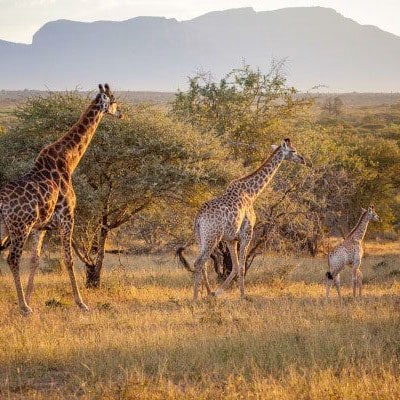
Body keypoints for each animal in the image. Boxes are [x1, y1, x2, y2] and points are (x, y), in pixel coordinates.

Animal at [0, 85, 122, 316]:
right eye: (113, 100)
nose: (121, 113)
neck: (68, 160)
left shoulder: (41, 226)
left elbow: (35, 259)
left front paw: (29, 298)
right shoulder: (67, 217)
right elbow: (69, 259)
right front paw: (80, 302)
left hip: (7, 228)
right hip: (19, 226)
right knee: (12, 258)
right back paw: (23, 308)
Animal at [176, 138, 306, 300]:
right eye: (293, 151)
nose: (303, 159)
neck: (251, 193)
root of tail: (198, 218)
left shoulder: (231, 239)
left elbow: (236, 266)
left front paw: (218, 292)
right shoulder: (247, 234)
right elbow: (242, 267)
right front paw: (243, 296)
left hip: (201, 238)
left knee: (203, 263)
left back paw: (208, 292)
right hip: (213, 236)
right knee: (199, 262)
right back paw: (195, 297)